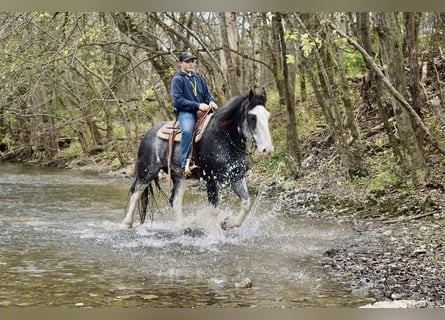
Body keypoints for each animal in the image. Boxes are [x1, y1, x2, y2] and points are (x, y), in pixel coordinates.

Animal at [121, 89, 274, 234]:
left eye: (267, 116)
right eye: (252, 117)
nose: (267, 149)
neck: (224, 137)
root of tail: (148, 133)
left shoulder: (236, 177)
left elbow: (246, 204)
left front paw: (228, 223)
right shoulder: (211, 179)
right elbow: (214, 210)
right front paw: (216, 237)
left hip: (179, 176)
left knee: (175, 201)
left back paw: (182, 227)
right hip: (147, 171)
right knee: (135, 192)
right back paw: (126, 224)